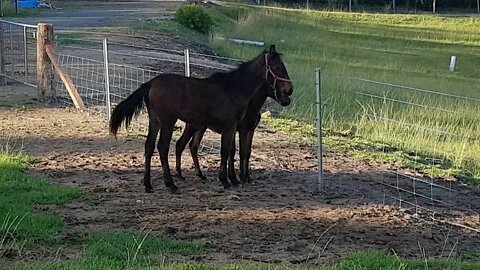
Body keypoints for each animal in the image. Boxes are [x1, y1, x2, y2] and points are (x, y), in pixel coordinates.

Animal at [109, 46, 292, 193]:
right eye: (277, 67)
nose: (290, 90)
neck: (233, 89)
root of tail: (151, 83)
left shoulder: (236, 128)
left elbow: (234, 152)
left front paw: (234, 178)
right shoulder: (231, 127)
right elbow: (226, 152)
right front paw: (226, 180)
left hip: (156, 121)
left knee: (150, 146)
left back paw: (148, 185)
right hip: (168, 121)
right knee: (163, 147)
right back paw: (171, 184)